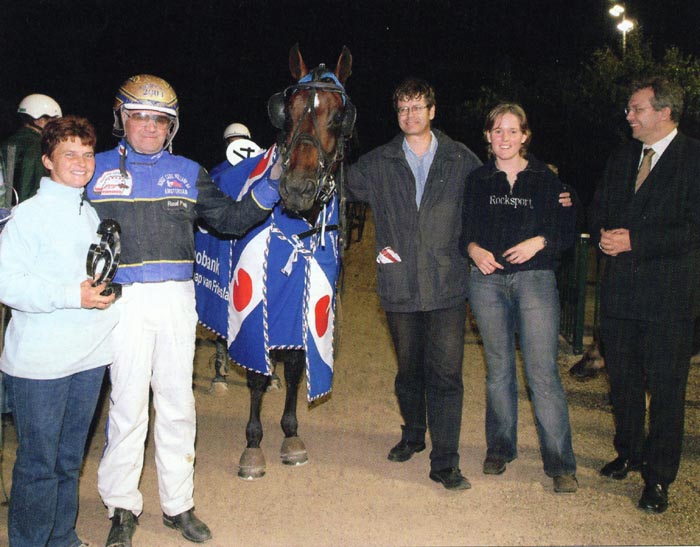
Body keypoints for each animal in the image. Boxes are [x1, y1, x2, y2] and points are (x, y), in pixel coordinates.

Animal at [194, 44, 354, 480]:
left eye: (340, 114)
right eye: (289, 109)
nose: (296, 188)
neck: (296, 224)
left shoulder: (307, 304)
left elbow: (298, 366)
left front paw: (290, 432)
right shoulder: (253, 299)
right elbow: (254, 375)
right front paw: (253, 444)